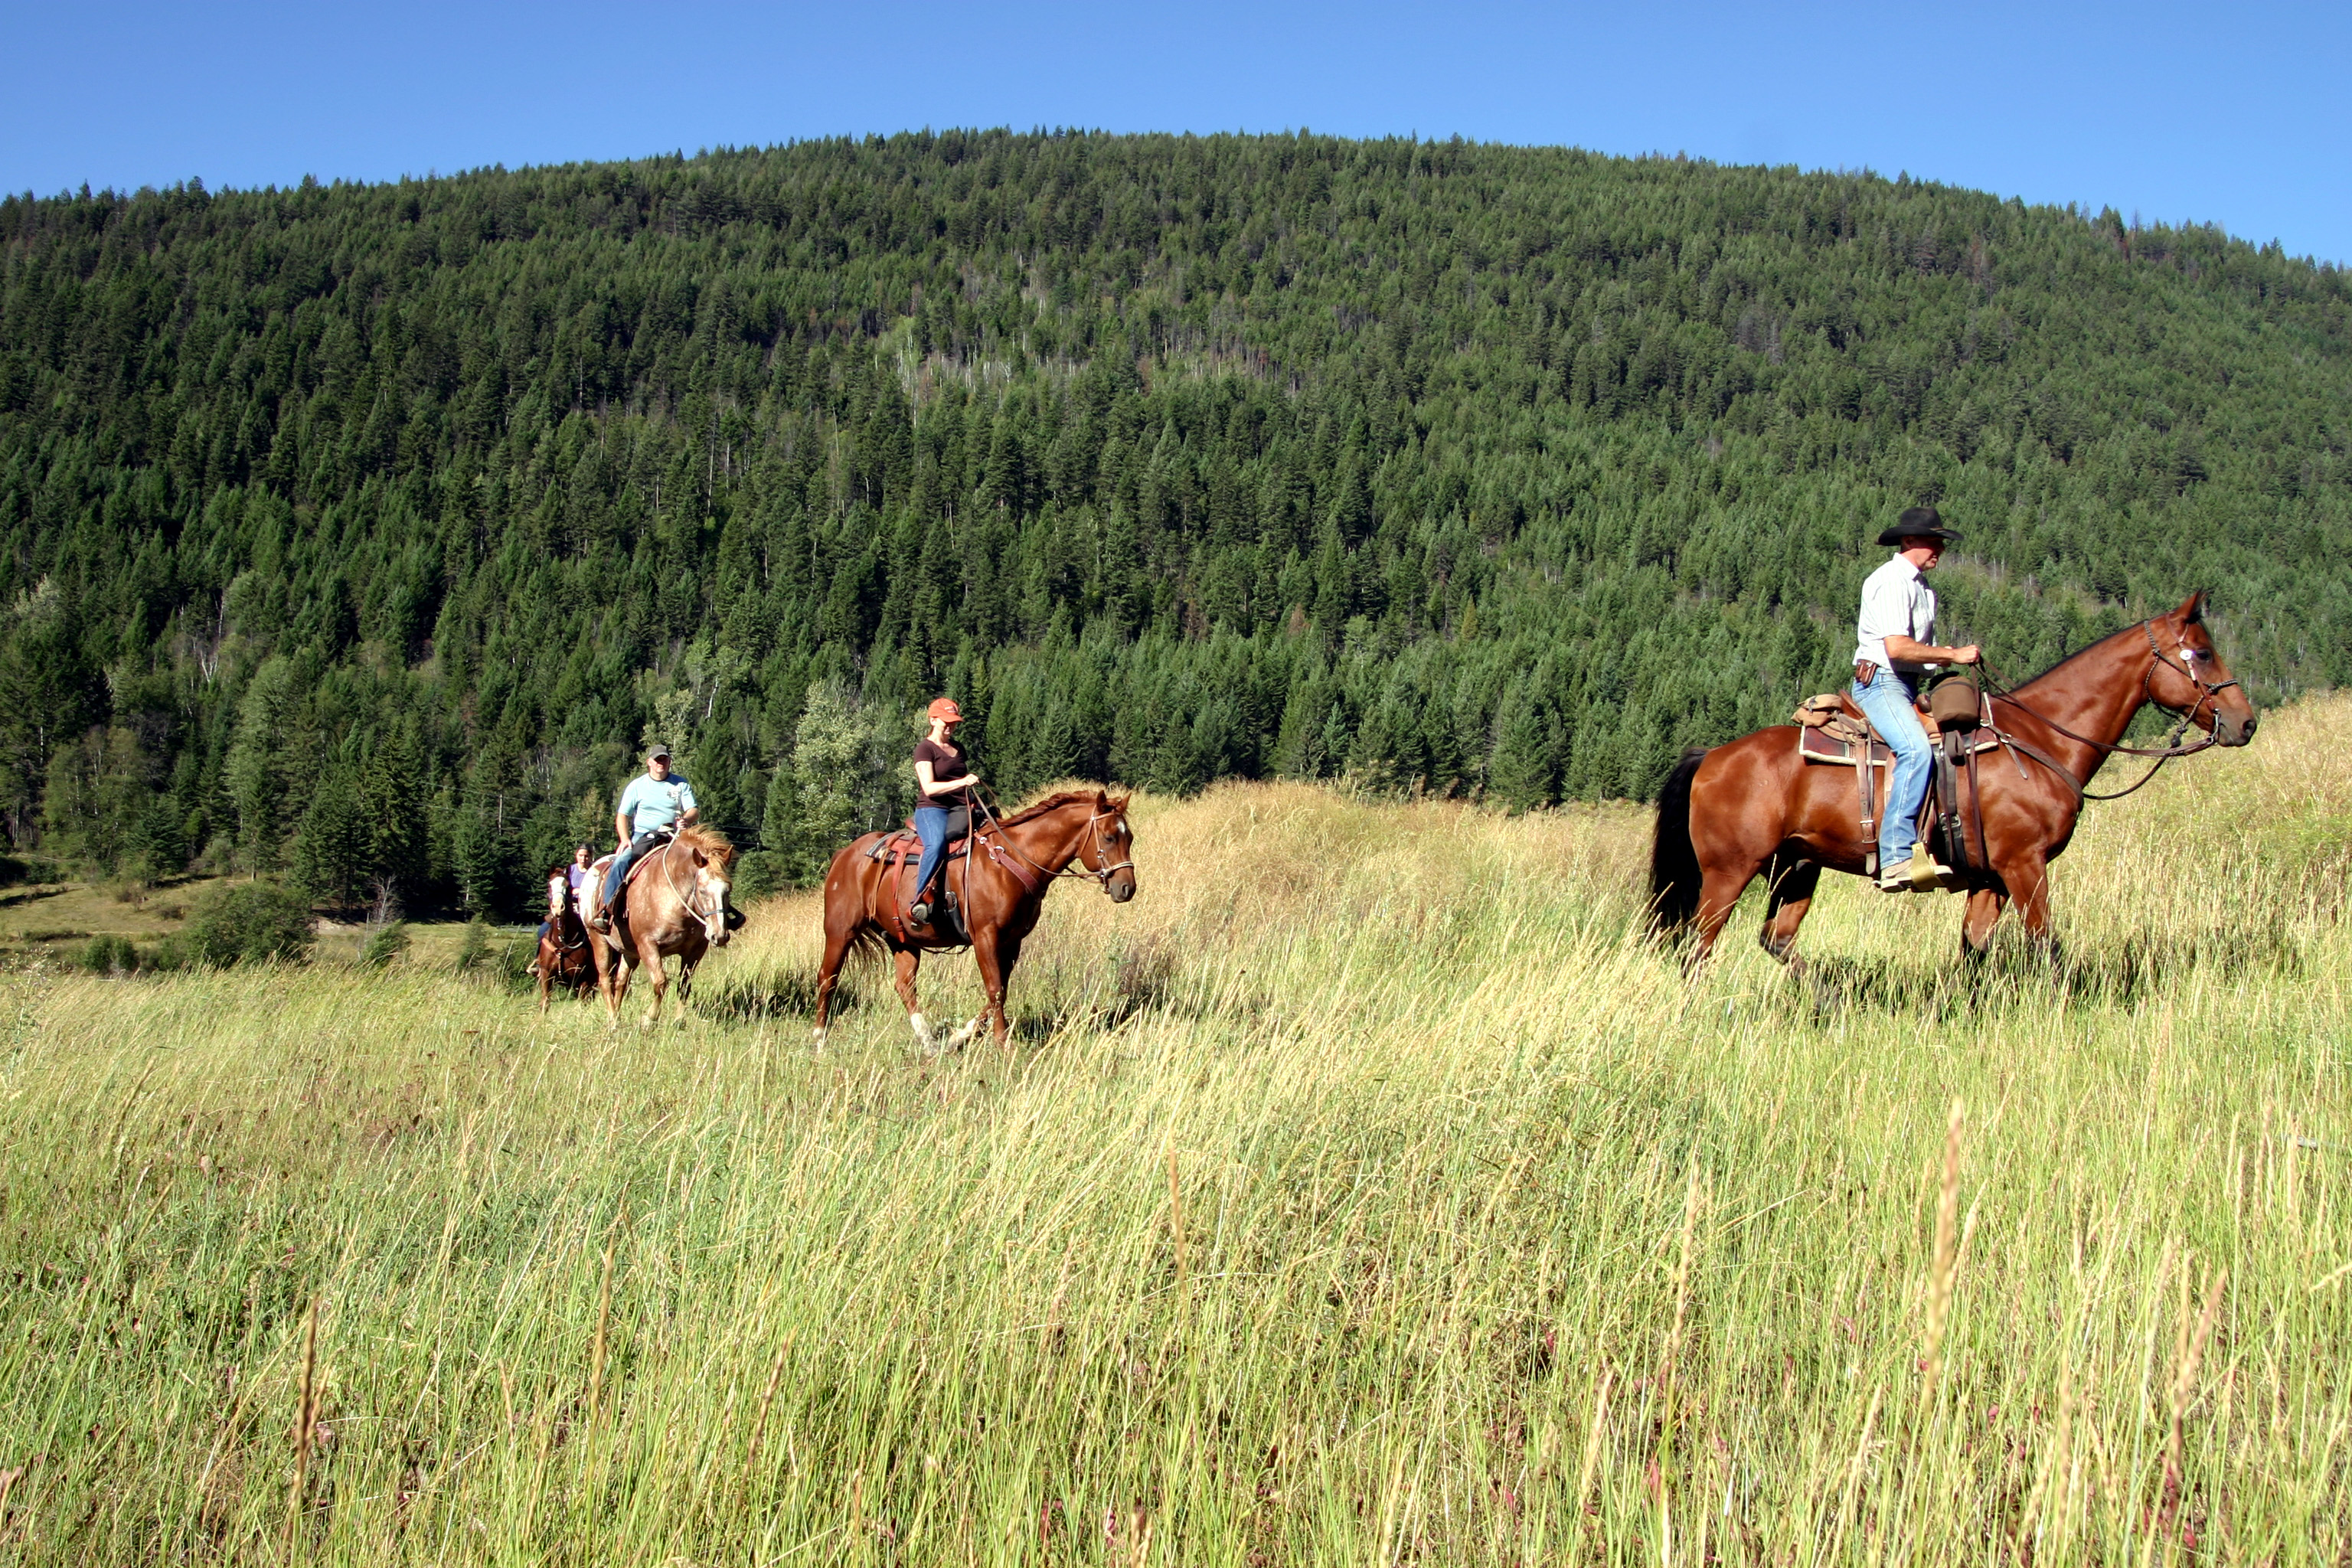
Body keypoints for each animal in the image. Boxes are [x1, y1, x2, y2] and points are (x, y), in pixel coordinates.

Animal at [583, 822, 738, 1029]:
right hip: (598, 939)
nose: (719, 936)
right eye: (703, 891)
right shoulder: (648, 945)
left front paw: (679, 1021)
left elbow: (684, 985)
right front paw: (649, 1019)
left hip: (629, 951)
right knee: (605, 980)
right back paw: (614, 1020)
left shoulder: (695, 949)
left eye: (728, 889)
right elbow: (660, 983)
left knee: (621, 981)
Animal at [808, 785, 1138, 1053]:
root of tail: (844, 855)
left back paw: (930, 1043)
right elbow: (995, 990)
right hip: (840, 931)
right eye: (1109, 837)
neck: (1010, 860)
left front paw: (960, 1036)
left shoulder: (1012, 941)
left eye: (1130, 838)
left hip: (903, 939)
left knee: (904, 985)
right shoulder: (985, 937)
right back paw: (819, 1039)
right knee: (828, 978)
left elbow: (999, 990)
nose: (1127, 888)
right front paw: (1002, 1043)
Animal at [1655, 594, 2258, 969]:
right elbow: (2047, 948)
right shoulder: (2025, 865)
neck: (2040, 738)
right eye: (2203, 653)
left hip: (1798, 867)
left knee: (1776, 940)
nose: (2245, 722)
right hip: (1730, 872)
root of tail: (1712, 756)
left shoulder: (1992, 877)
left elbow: (1973, 950)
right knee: (1697, 949)